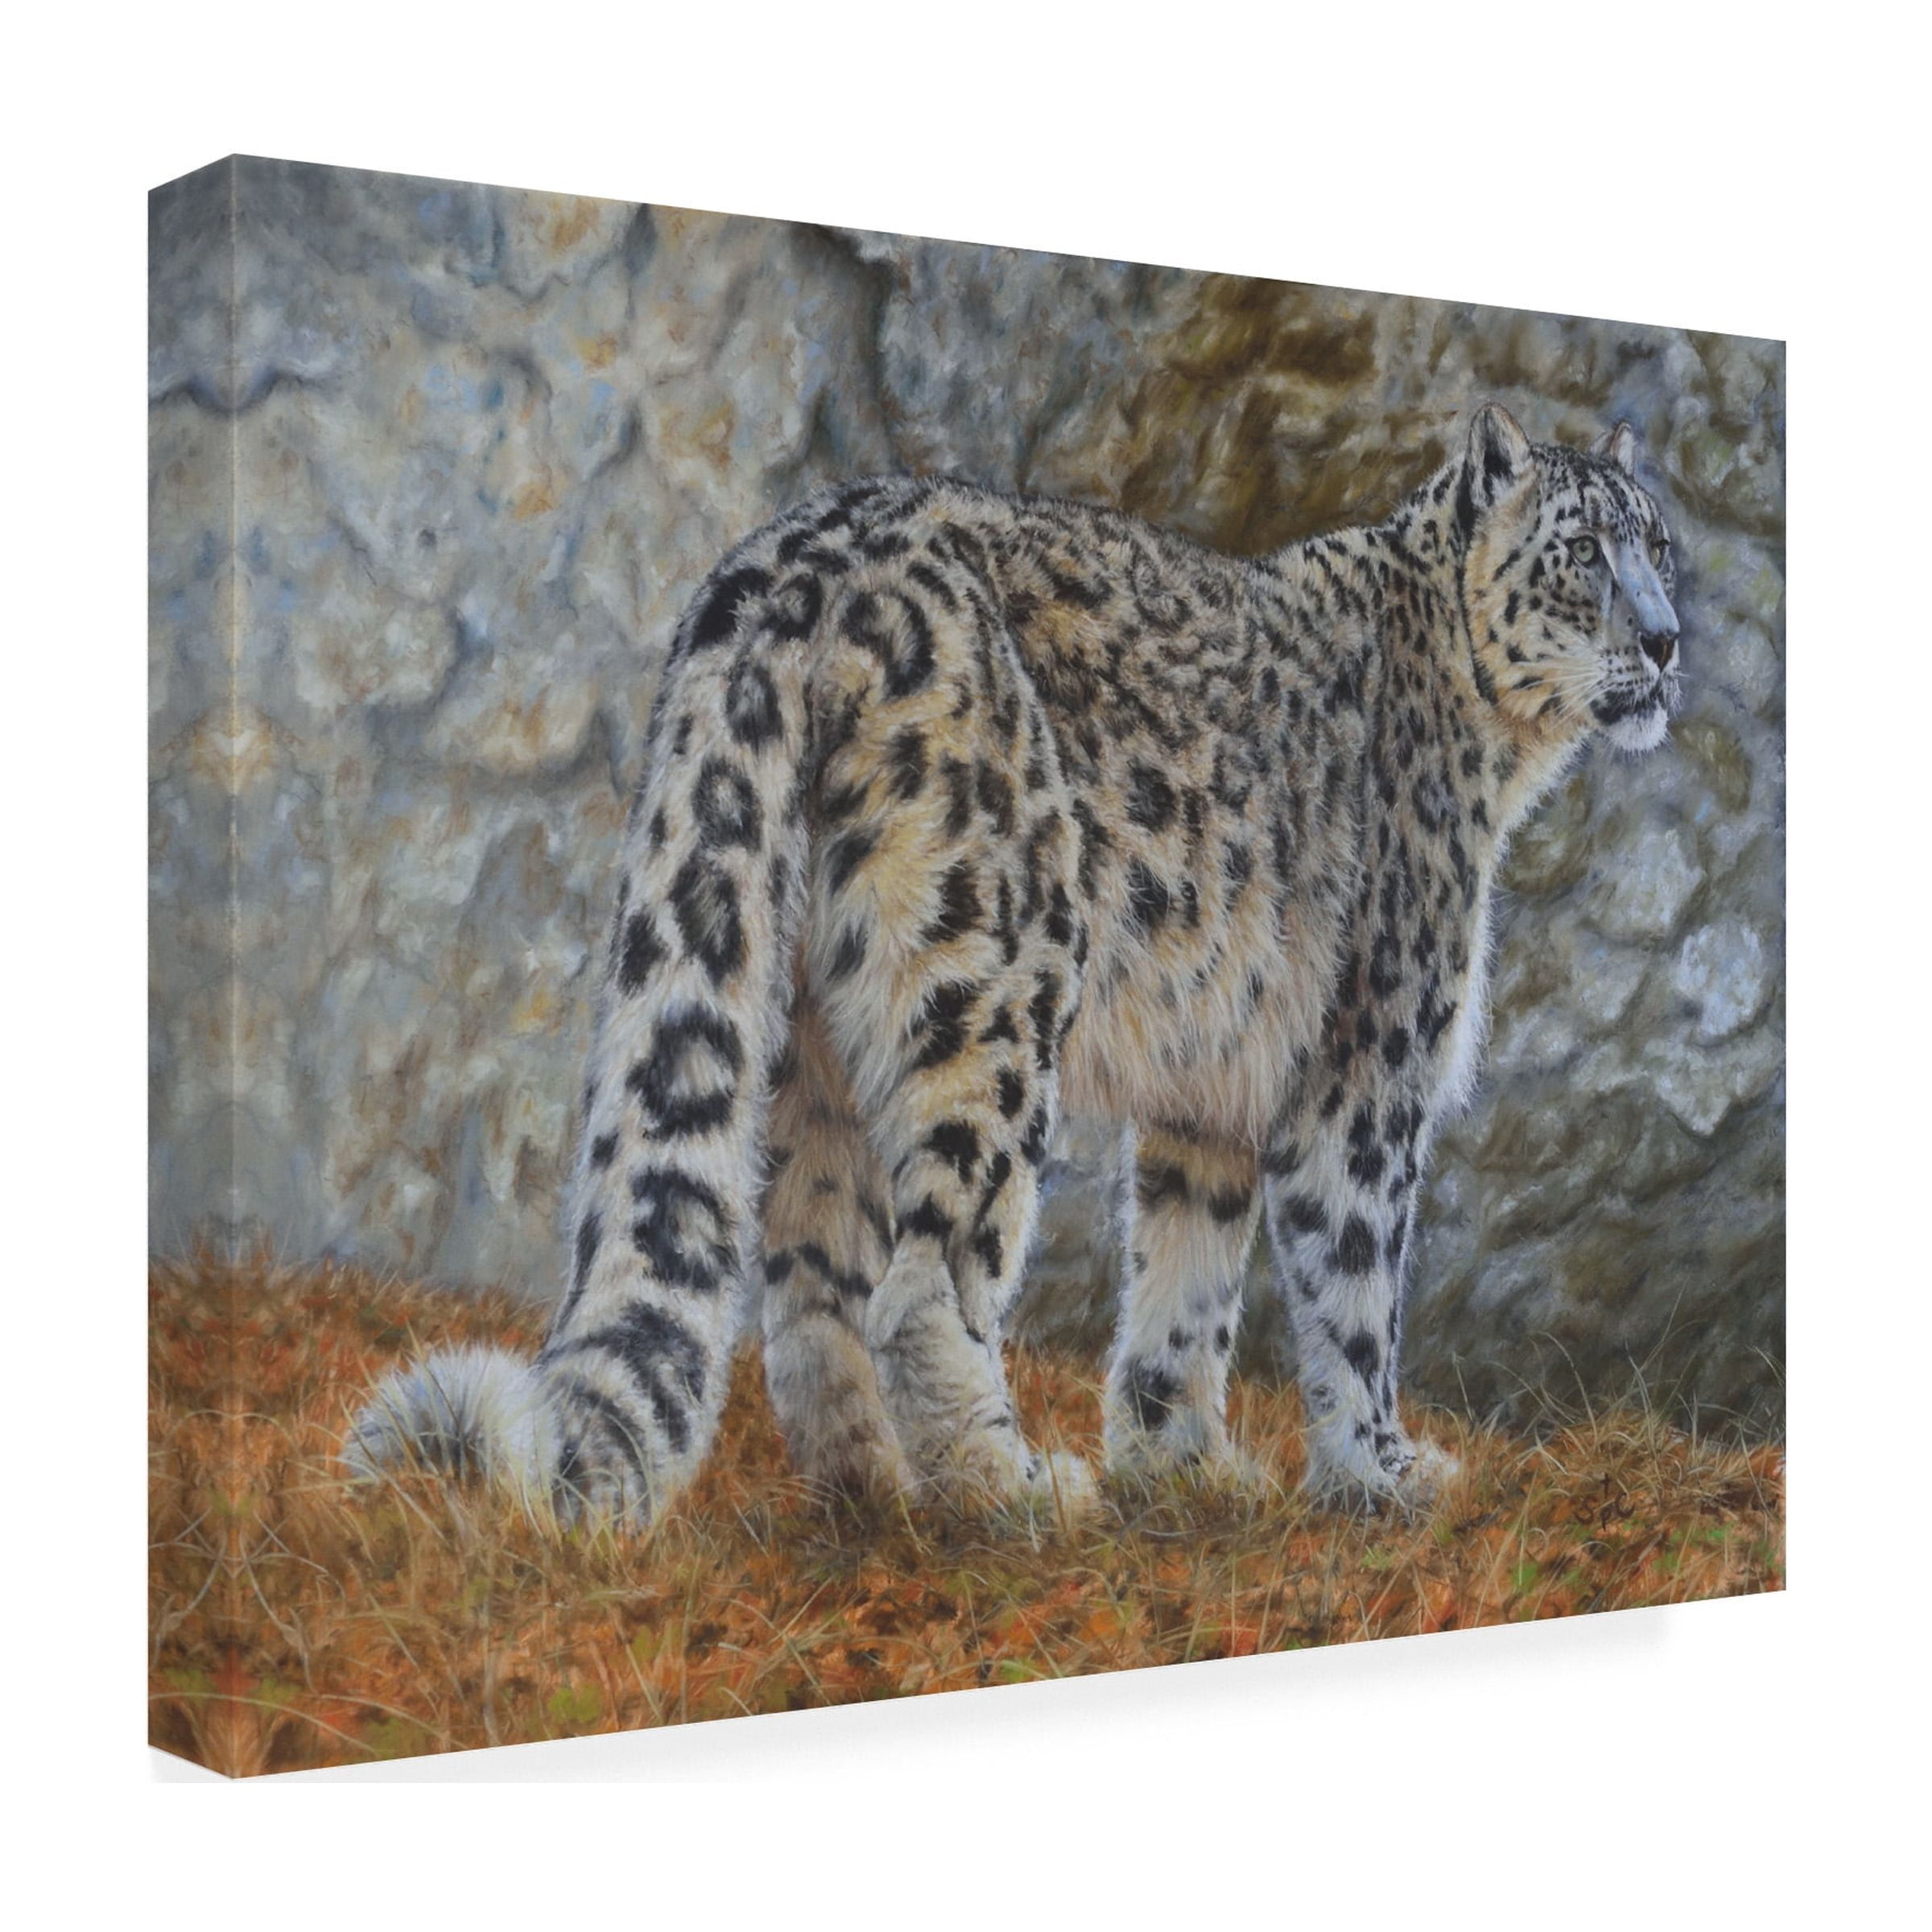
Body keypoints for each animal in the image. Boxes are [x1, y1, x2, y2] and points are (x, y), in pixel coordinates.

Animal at [347, 404, 1682, 1525]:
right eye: (1584, 553)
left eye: (1661, 542)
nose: (1669, 641)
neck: (1502, 761)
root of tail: (792, 560)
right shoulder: (1370, 1060)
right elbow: (1355, 1285)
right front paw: (1382, 1478)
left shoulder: (1214, 1081)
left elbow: (1187, 1277)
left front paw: (1186, 1465)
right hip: (998, 969)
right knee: (931, 1274)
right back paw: (1010, 1489)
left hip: (818, 1022)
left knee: (815, 1283)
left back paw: (879, 1492)